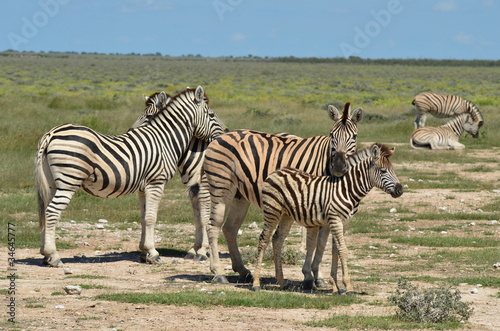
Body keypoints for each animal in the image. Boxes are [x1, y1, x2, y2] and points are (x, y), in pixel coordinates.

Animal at [36, 86, 228, 268]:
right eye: (211, 114)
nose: (226, 132)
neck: (165, 140)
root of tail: (51, 133)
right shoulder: (156, 183)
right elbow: (151, 217)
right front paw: (153, 253)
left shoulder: (143, 188)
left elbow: (143, 218)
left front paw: (144, 252)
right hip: (68, 182)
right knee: (52, 212)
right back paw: (53, 256)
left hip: (52, 183)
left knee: (45, 212)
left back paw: (45, 255)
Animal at [203, 102, 364, 290]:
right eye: (332, 135)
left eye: (354, 137)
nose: (338, 166)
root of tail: (222, 136)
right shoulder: (313, 202)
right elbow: (312, 242)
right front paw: (308, 276)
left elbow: (322, 243)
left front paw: (318, 277)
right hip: (221, 189)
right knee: (213, 226)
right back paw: (219, 273)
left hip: (239, 195)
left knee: (230, 228)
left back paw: (243, 271)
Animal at [252, 144, 404, 294]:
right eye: (383, 171)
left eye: (393, 170)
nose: (400, 190)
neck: (347, 189)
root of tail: (276, 171)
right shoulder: (335, 219)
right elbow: (343, 250)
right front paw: (348, 286)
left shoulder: (344, 222)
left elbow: (335, 251)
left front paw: (336, 285)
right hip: (272, 210)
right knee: (264, 239)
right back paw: (256, 283)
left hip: (286, 215)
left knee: (277, 239)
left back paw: (282, 282)